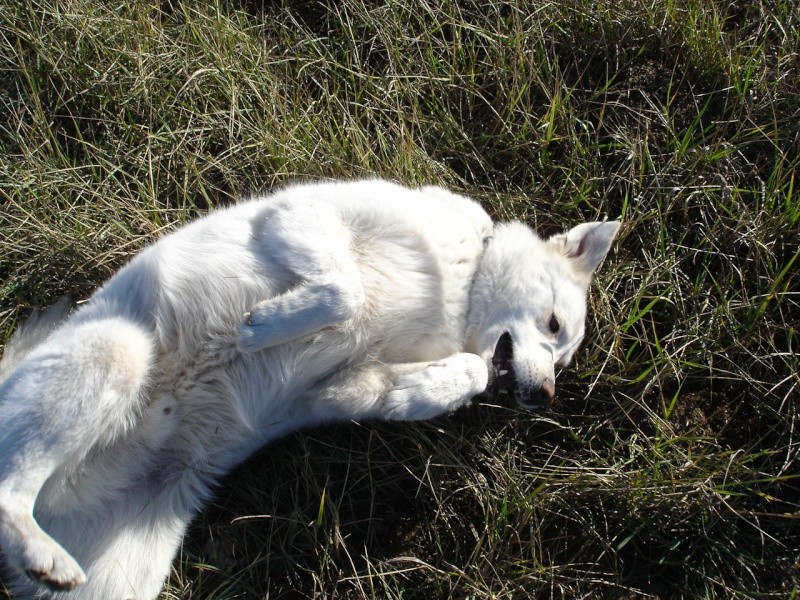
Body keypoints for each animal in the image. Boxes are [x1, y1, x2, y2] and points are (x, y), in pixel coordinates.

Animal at [0, 180, 620, 596]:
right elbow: (344, 292)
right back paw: (43, 554)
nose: (546, 397)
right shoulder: (301, 214)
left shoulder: (335, 392)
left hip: (125, 570)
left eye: (564, 357)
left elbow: (461, 370)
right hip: (118, 354)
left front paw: (422, 390)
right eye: (554, 325)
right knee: (9, 490)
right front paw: (263, 327)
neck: (461, 285)